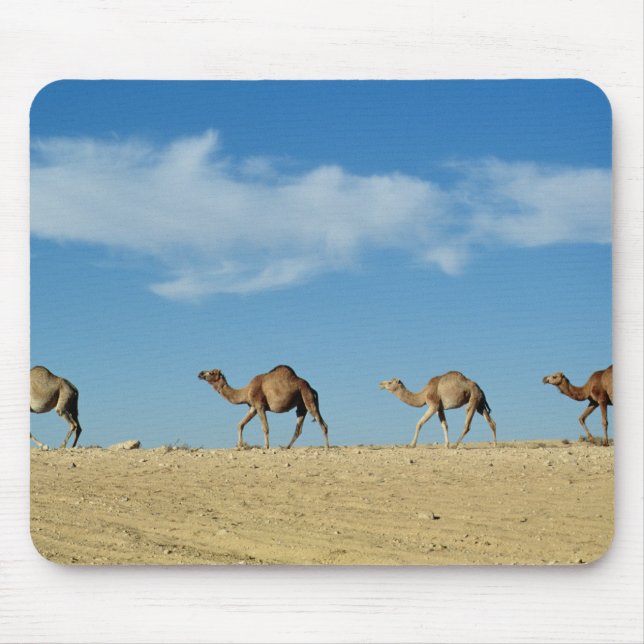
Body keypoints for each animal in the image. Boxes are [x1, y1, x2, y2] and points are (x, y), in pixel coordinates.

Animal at [198, 365, 329, 450]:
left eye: (212, 372)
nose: (200, 373)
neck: (246, 391)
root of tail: (312, 388)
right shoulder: (253, 408)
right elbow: (240, 424)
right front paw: (239, 445)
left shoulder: (260, 405)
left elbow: (265, 428)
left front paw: (266, 446)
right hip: (301, 405)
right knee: (298, 428)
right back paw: (286, 447)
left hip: (307, 398)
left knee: (322, 423)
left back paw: (326, 447)